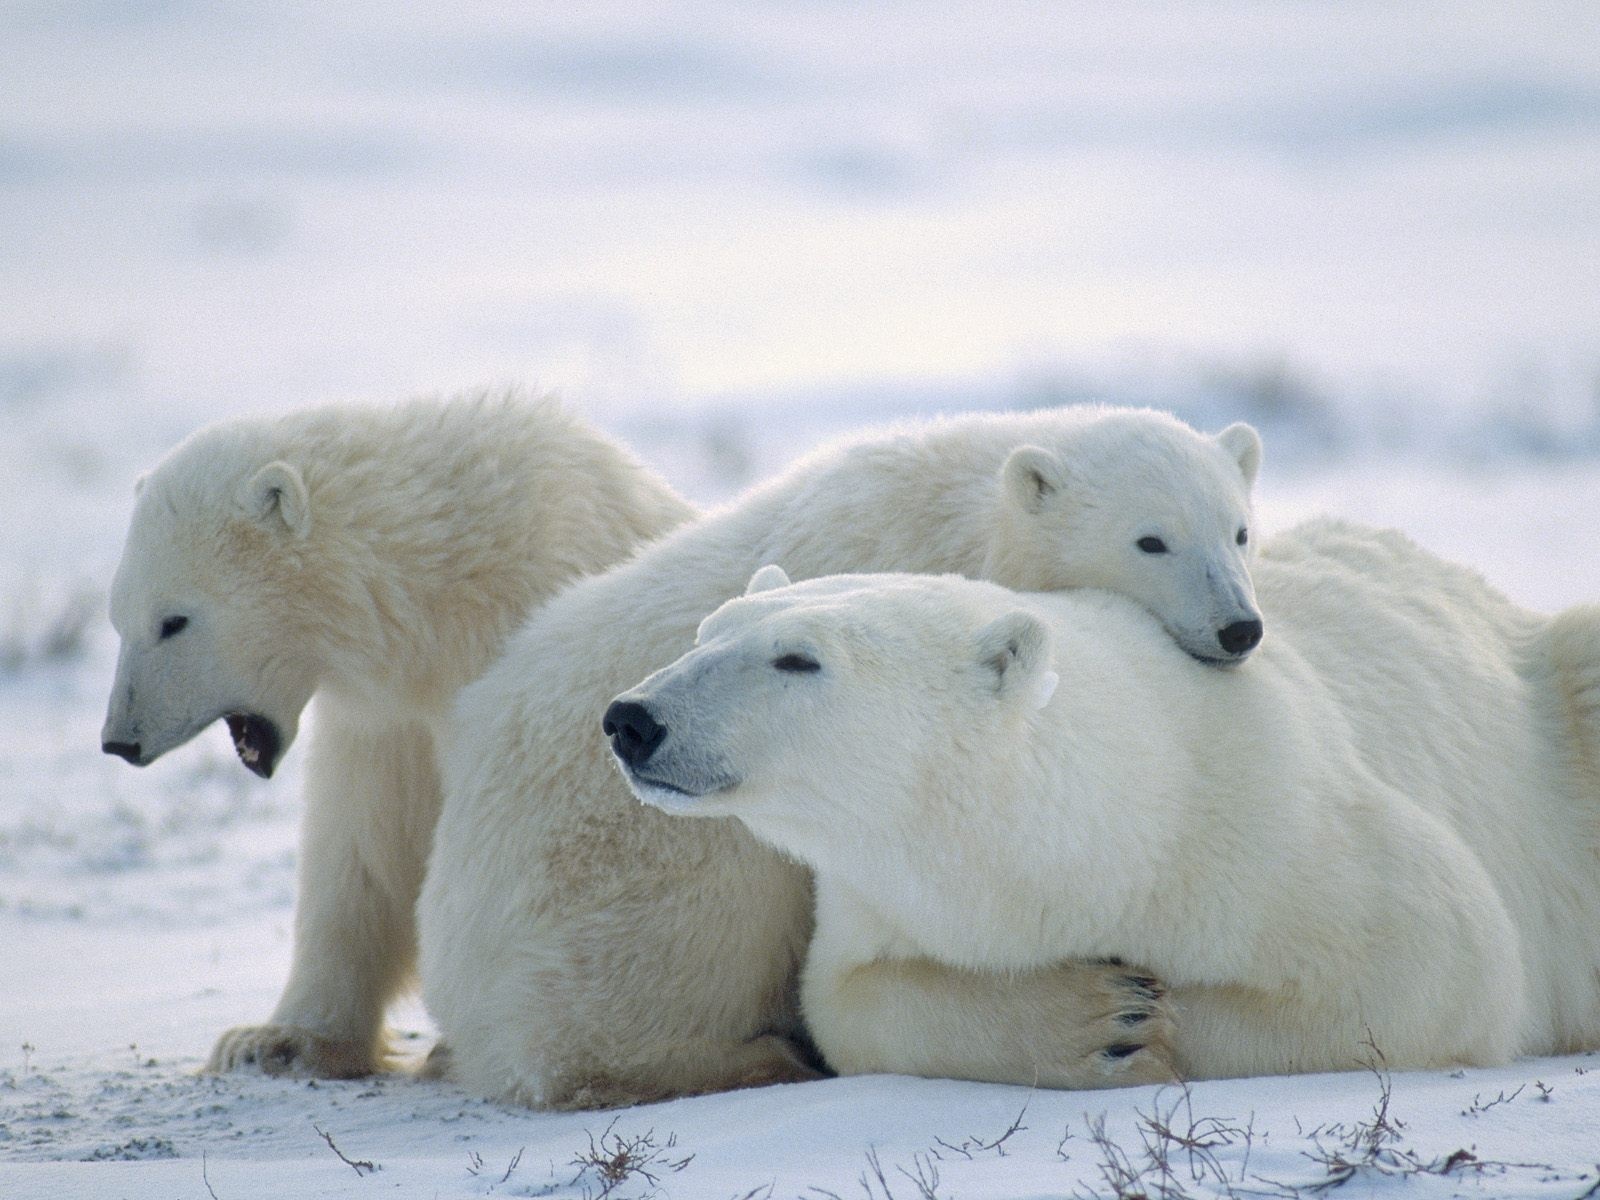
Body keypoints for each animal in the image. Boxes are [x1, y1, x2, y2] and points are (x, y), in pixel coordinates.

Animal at [103, 395, 691, 1081]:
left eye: (174, 621)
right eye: (117, 618)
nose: (119, 740)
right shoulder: (385, 722)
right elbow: (363, 850)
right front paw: (273, 1040)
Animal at [416, 409, 1260, 1113]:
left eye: (1239, 531)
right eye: (1151, 539)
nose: (1239, 628)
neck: (967, 513)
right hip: (615, 874)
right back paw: (753, 1059)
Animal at [614, 531, 1600, 1088]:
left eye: (798, 658)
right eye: (707, 632)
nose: (632, 719)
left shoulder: (1281, 834)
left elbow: (1445, 964)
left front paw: (1155, 1021)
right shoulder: (879, 901)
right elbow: (849, 1001)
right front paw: (1100, 1022)